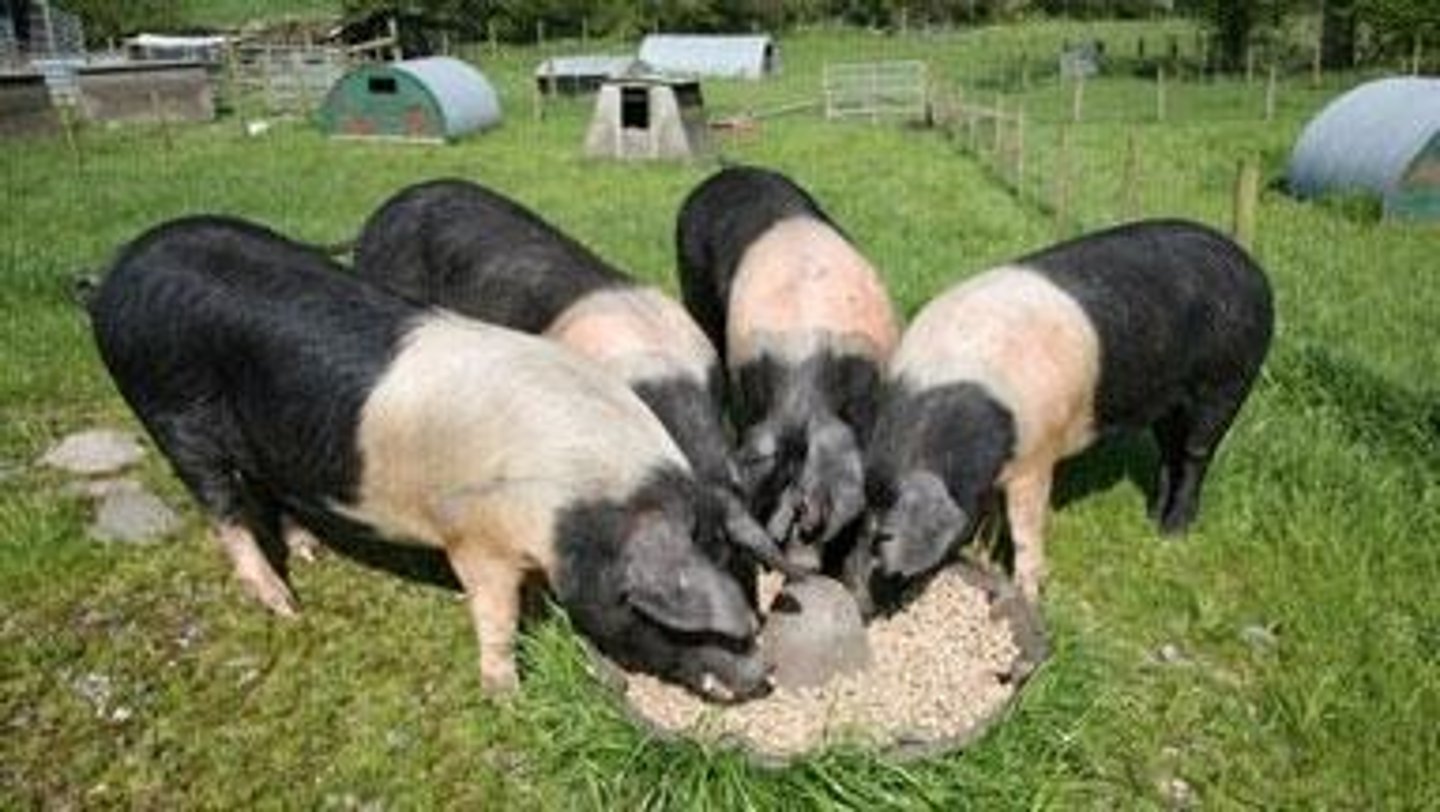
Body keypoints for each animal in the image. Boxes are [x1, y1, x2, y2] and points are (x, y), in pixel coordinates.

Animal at [88, 215, 772, 702]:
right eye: (689, 625)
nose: (762, 677)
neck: (574, 507)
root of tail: (117, 269)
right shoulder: (478, 543)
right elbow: (495, 615)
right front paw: (506, 697)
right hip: (168, 407)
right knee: (221, 502)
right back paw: (284, 605)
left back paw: (307, 553)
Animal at [862, 219, 1274, 604]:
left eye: (884, 540)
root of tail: (1252, 267)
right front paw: (983, 553)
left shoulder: (1037, 455)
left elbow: (1025, 525)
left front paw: (1028, 592)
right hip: (1167, 404)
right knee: (1168, 453)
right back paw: (1153, 516)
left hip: (1230, 380)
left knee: (1195, 454)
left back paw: (1172, 532)